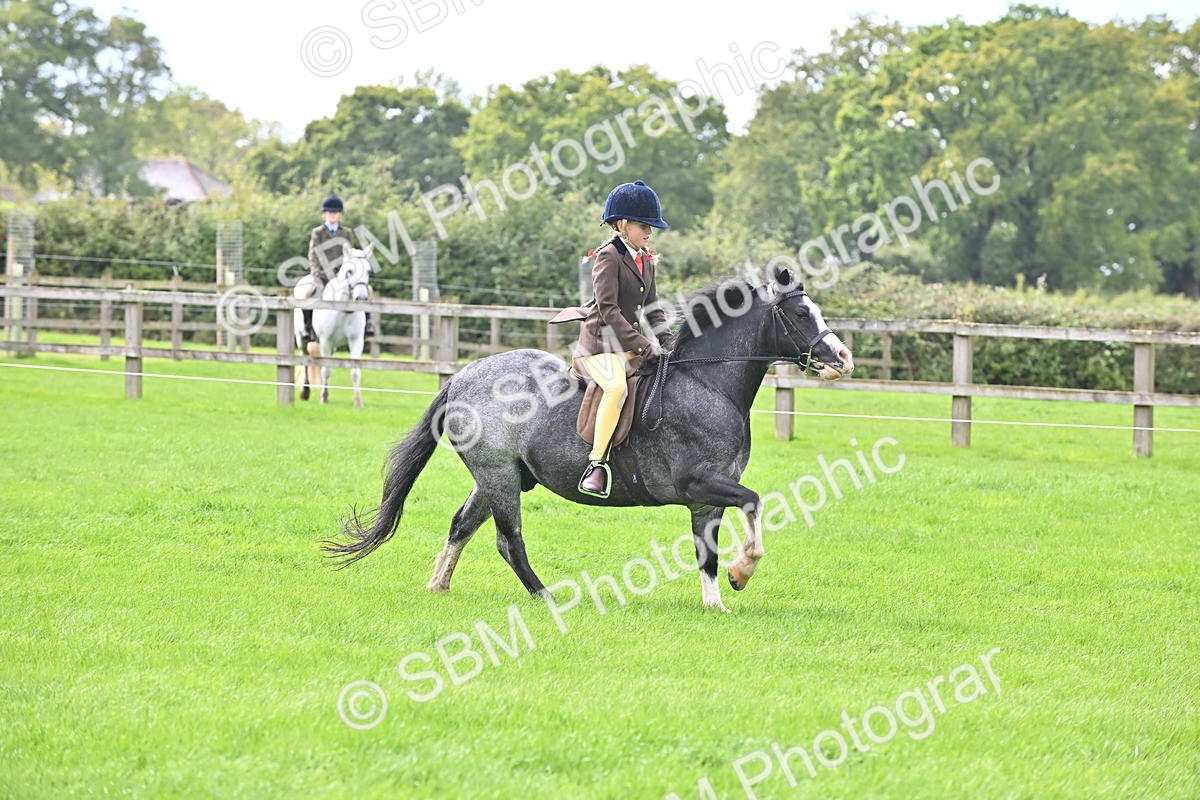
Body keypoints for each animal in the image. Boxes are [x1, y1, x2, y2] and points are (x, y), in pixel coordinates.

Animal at [293, 242, 375, 407]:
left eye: (368, 271)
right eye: (350, 271)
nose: (362, 298)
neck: (343, 311)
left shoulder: (356, 341)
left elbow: (355, 372)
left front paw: (358, 401)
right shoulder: (326, 341)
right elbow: (326, 370)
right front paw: (323, 397)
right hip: (301, 339)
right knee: (305, 360)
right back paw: (305, 391)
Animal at [322, 269, 854, 611]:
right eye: (801, 315)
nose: (843, 359)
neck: (707, 384)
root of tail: (462, 376)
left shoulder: (707, 499)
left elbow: (707, 553)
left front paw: (717, 603)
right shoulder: (699, 484)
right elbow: (754, 502)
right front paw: (742, 573)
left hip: (497, 474)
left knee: (461, 525)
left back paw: (438, 586)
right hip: (497, 474)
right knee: (508, 539)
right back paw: (546, 597)